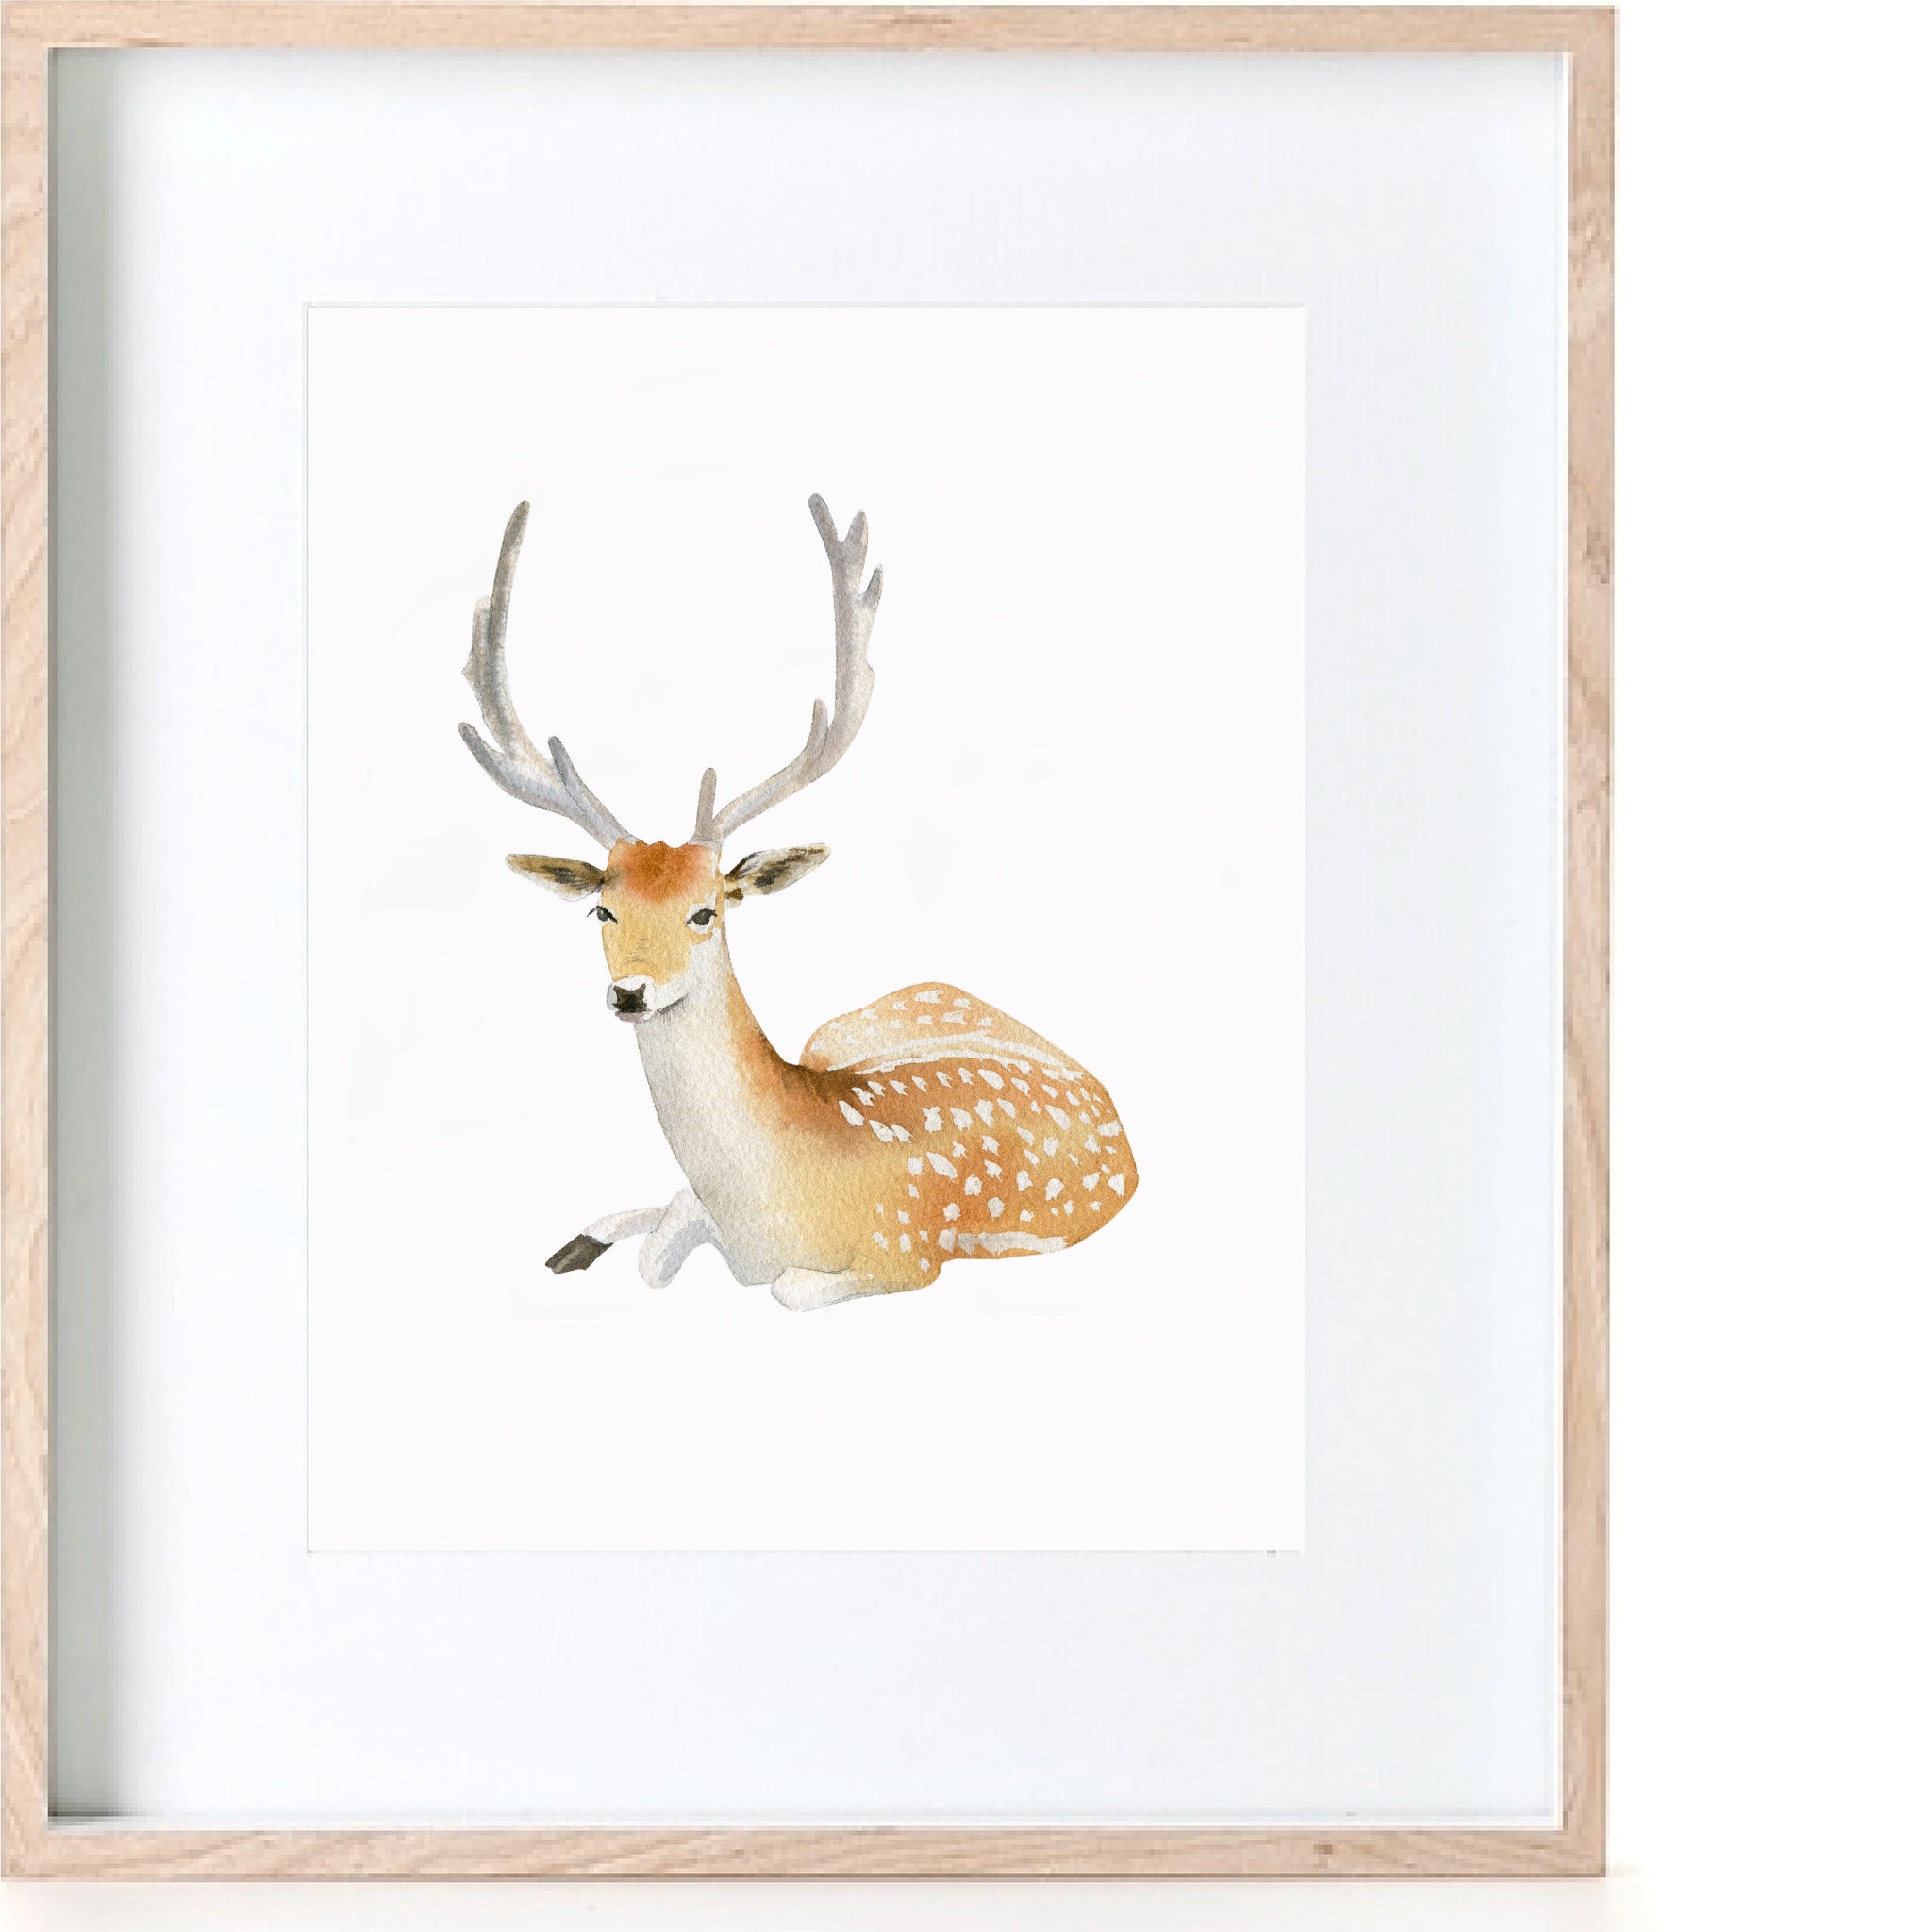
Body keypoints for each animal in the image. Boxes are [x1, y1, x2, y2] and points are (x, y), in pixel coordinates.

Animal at [458, 496, 1136, 1311]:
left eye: (706, 911)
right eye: (602, 910)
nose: (630, 993)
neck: (774, 1200)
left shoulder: (907, 1250)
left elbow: (780, 1288)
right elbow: (659, 1254)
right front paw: (595, 1244)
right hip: (838, 1029)